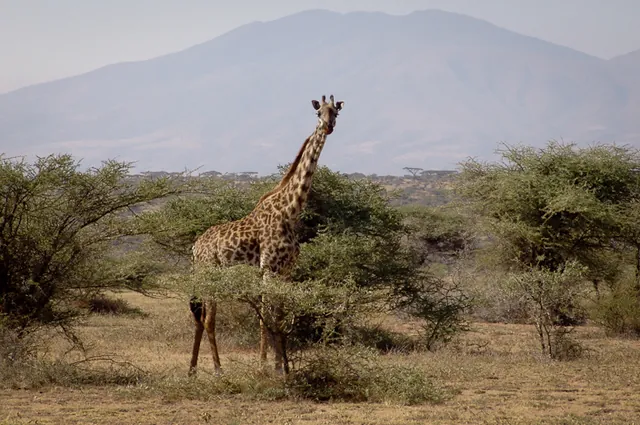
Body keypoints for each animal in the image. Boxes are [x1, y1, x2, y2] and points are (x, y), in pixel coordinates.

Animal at [189, 94, 344, 375]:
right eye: (318, 113)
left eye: (335, 112)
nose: (328, 126)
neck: (290, 211)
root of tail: (195, 247)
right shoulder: (267, 269)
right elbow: (265, 317)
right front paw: (263, 366)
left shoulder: (286, 271)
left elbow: (280, 316)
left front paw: (281, 367)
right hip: (210, 273)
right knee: (208, 319)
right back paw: (217, 369)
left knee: (199, 318)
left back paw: (192, 370)